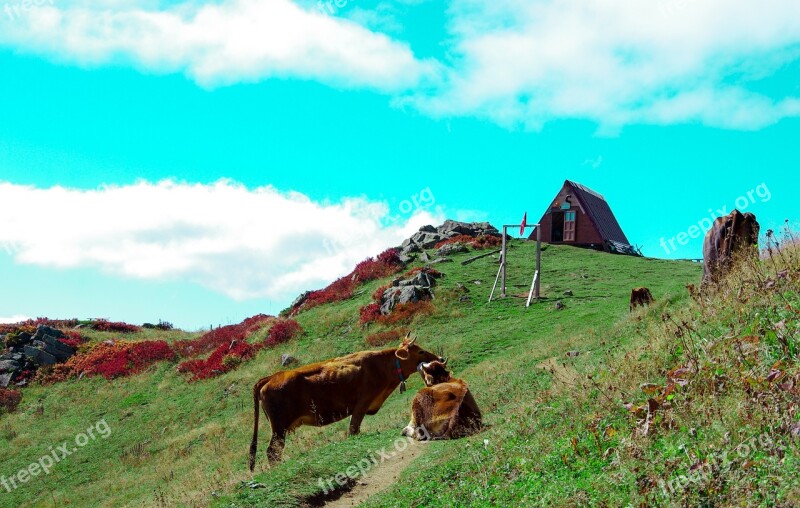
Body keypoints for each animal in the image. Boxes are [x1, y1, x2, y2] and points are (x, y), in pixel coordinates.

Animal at [248, 334, 440, 468]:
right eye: (420, 351)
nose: (440, 358)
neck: (382, 366)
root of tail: (272, 377)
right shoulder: (361, 404)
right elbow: (353, 430)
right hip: (278, 427)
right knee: (272, 451)